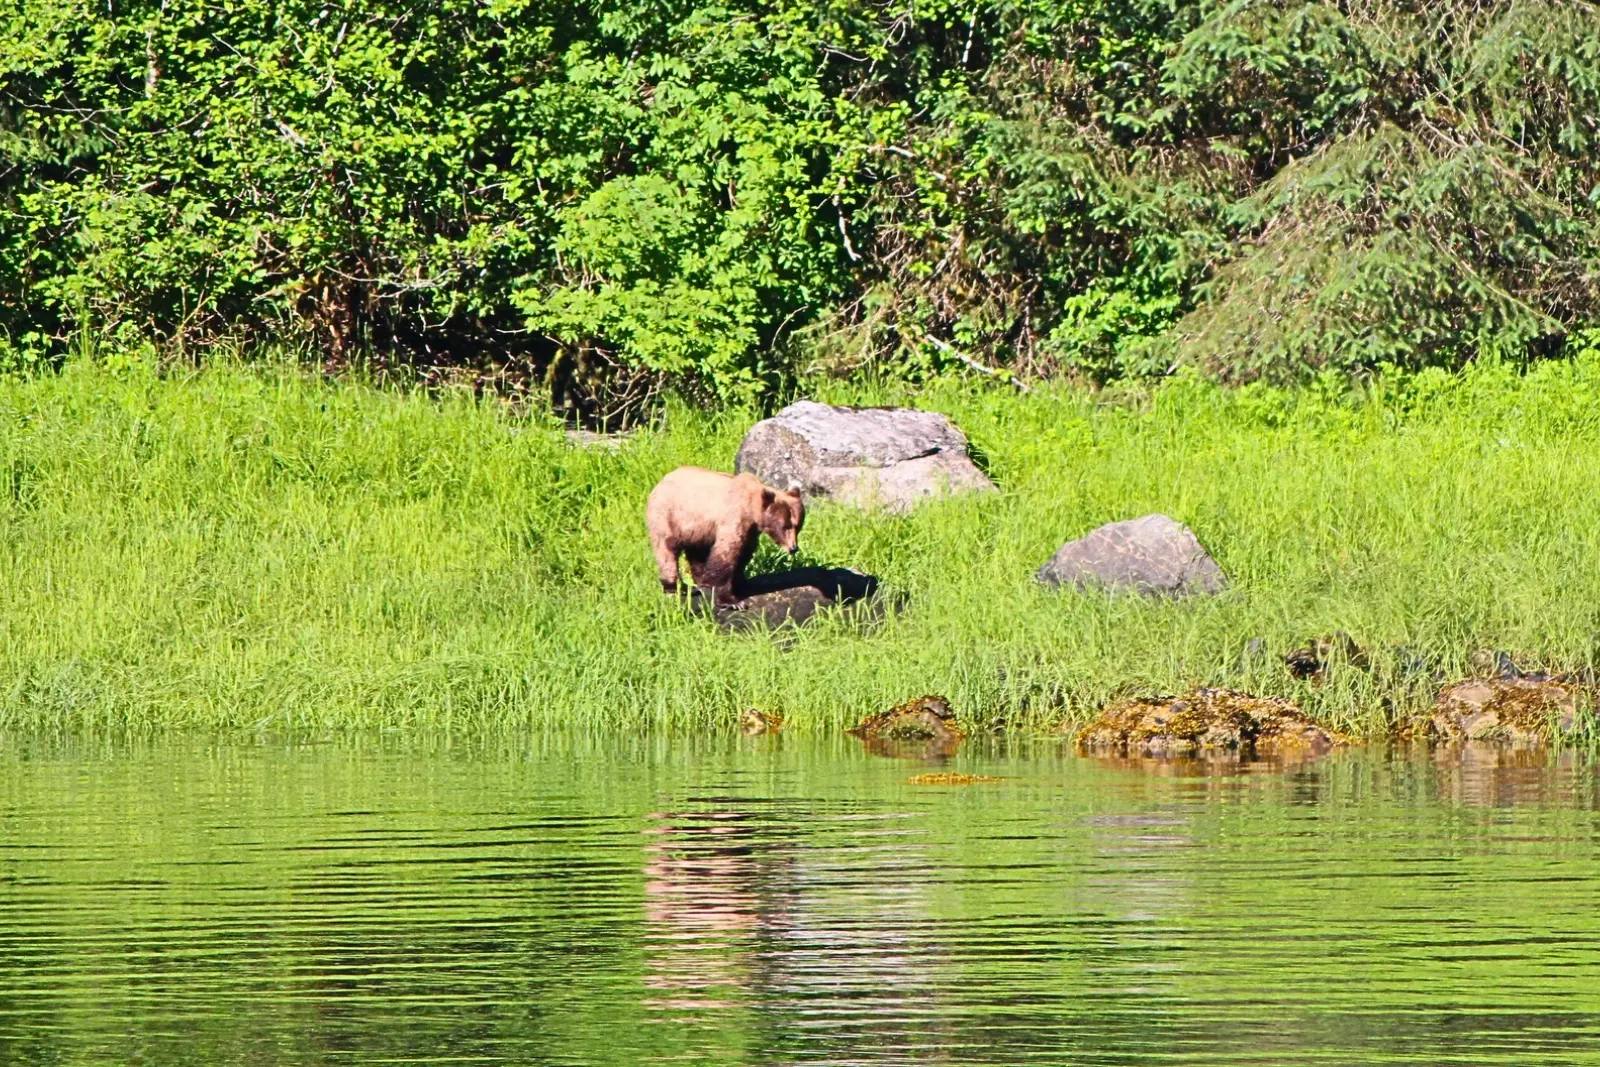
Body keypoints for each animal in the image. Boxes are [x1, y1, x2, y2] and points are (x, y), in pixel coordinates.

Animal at [646, 466, 805, 606]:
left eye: (798, 526)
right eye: (785, 526)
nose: (793, 548)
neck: (751, 510)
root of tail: (660, 482)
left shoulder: (750, 531)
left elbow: (744, 553)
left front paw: (741, 582)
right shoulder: (734, 519)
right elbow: (726, 554)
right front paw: (732, 601)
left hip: (698, 529)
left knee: (697, 551)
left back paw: (700, 580)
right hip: (669, 516)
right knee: (667, 550)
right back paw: (675, 587)